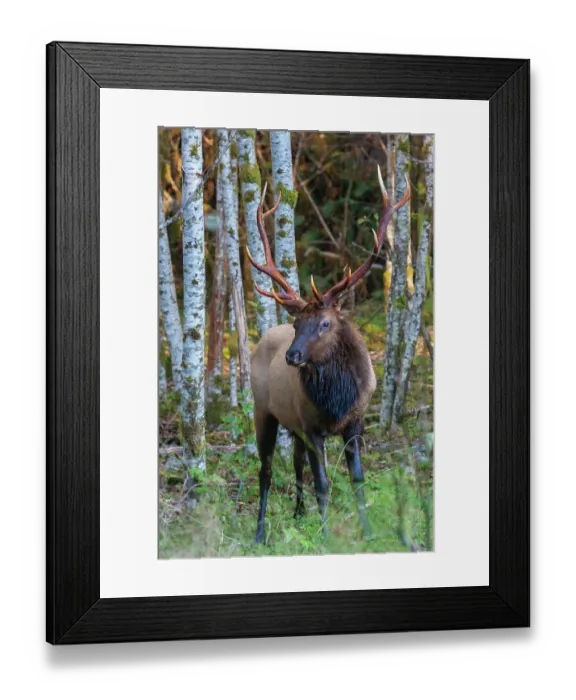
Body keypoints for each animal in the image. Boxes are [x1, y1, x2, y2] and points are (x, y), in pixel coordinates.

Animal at [246, 167, 411, 544]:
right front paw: (324, 537)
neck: (337, 399)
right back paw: (260, 532)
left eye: (324, 323)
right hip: (264, 411)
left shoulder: (355, 422)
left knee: (295, 464)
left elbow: (357, 479)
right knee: (266, 470)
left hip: (292, 425)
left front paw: (367, 533)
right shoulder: (313, 427)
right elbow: (322, 483)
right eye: (296, 323)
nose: (292, 356)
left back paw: (298, 513)